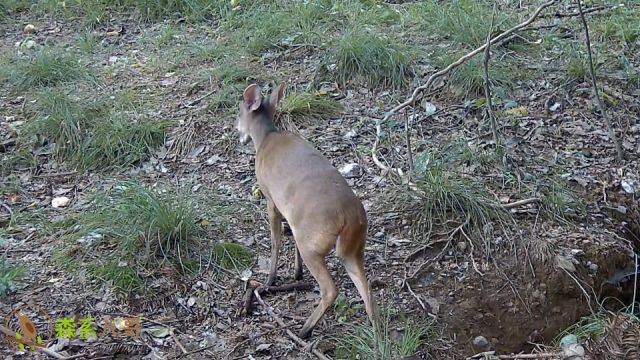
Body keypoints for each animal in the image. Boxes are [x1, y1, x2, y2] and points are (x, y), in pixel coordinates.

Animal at [234, 83, 376, 338]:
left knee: (330, 289)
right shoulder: (288, 209)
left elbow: (276, 240)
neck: (266, 138)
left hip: (312, 241)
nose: (235, 130)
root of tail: (350, 218)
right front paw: (297, 273)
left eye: (239, 112)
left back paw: (304, 330)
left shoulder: (270, 197)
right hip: (354, 246)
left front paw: (270, 280)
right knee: (366, 288)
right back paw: (378, 333)